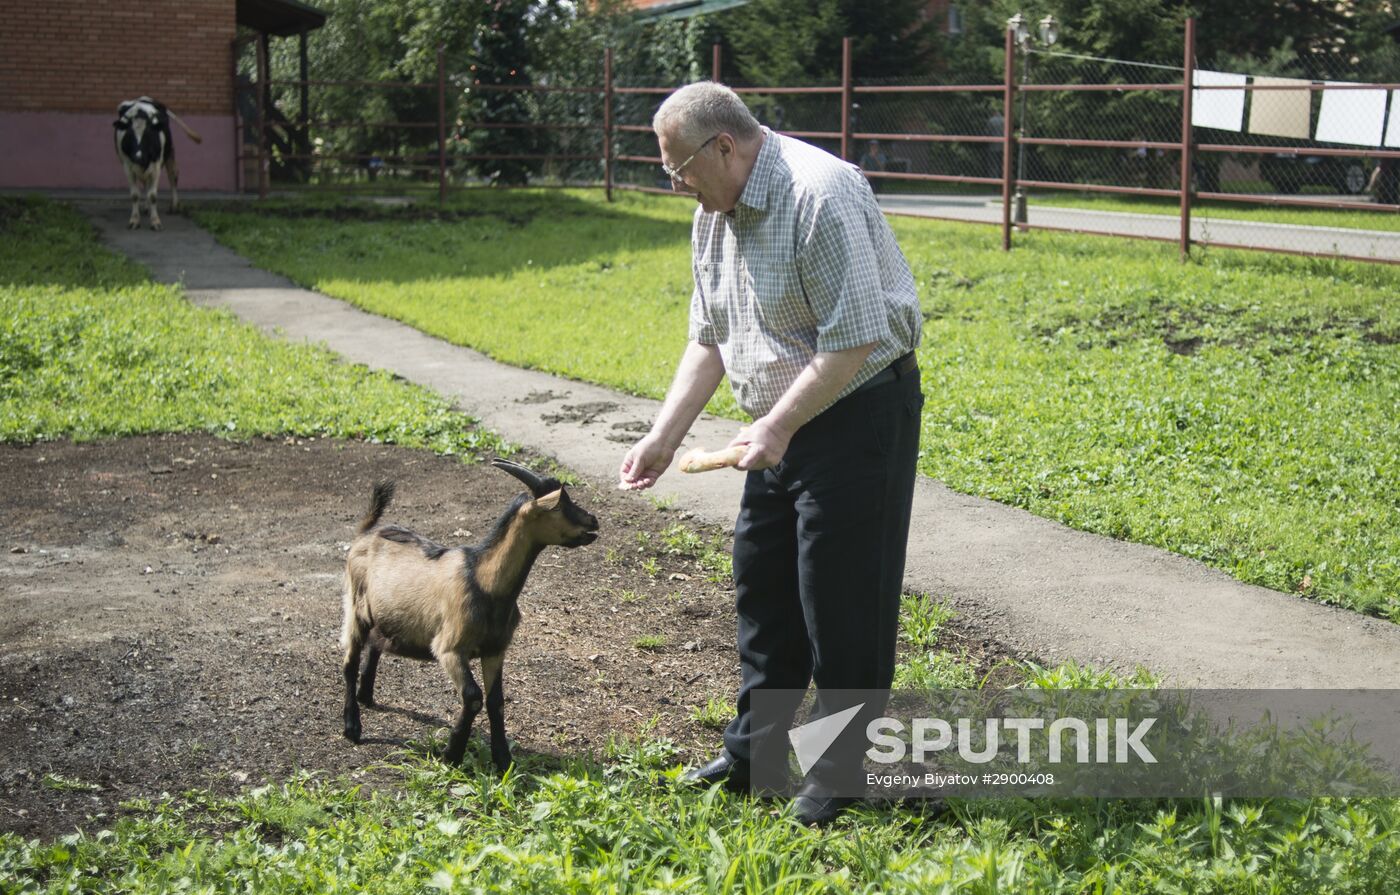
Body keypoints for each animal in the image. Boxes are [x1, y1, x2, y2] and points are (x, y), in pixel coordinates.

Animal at [113, 97, 203, 231]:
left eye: (148, 134)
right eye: (129, 134)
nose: (138, 157)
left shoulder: (156, 167)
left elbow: (153, 195)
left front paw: (155, 221)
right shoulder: (127, 166)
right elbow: (135, 195)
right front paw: (134, 220)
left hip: (169, 151)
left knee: (173, 175)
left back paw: (173, 206)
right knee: (146, 182)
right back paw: (146, 207)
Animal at [344, 462, 602, 773]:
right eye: (562, 505)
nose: (593, 521)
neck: (484, 579)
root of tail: (366, 532)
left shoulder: (495, 650)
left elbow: (496, 701)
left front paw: (503, 760)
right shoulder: (450, 649)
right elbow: (473, 696)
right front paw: (451, 754)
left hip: (383, 616)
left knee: (376, 644)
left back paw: (366, 696)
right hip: (355, 607)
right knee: (349, 662)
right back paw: (352, 727)